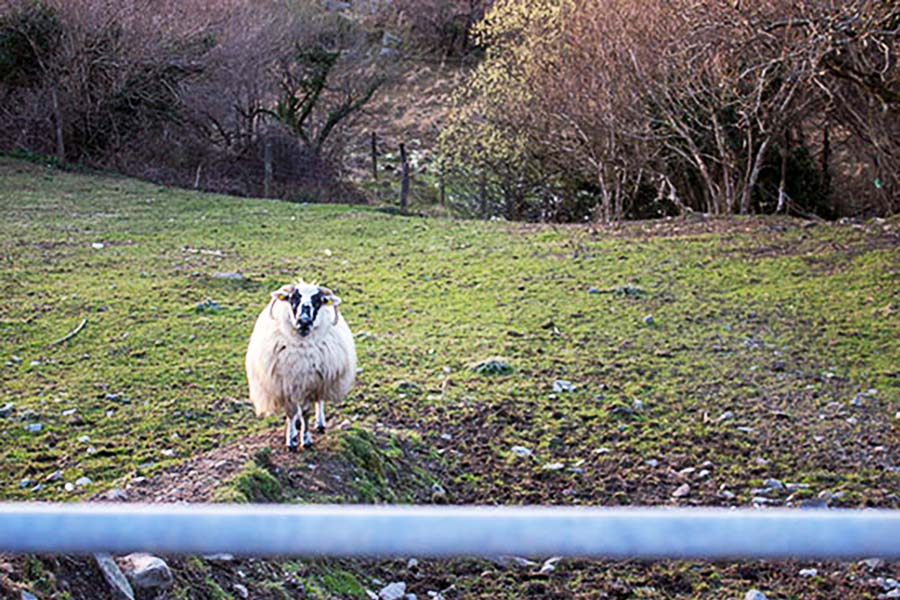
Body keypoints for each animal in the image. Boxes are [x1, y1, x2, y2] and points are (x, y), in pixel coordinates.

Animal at [245, 280, 356, 451]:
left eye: (318, 301)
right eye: (293, 299)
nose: (304, 322)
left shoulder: (313, 384)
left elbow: (306, 412)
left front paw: (306, 439)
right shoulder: (286, 386)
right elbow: (291, 413)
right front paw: (291, 441)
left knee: (319, 401)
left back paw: (320, 424)